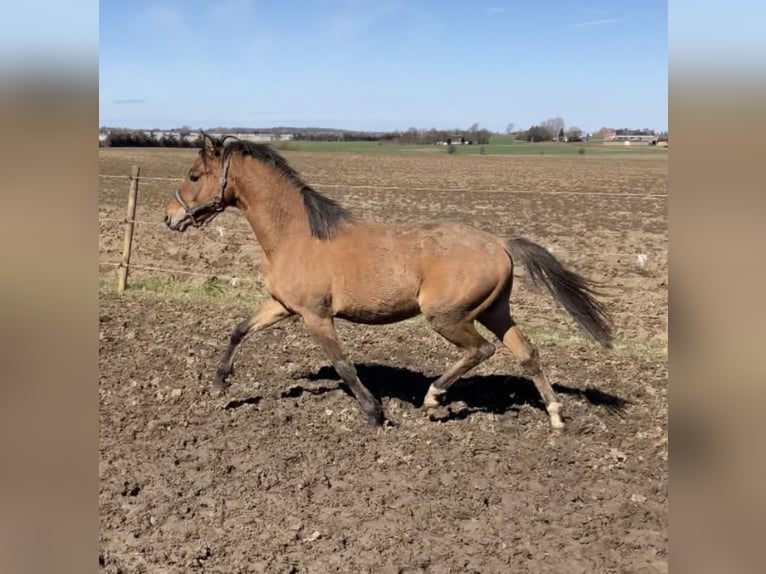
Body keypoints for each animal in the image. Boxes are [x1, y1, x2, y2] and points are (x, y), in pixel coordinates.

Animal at [166, 136, 612, 432]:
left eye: (194, 175)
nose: (170, 217)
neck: (296, 234)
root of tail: (499, 242)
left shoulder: (315, 315)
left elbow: (343, 365)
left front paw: (375, 414)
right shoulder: (282, 305)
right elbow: (239, 329)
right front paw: (220, 383)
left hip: (448, 316)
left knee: (480, 350)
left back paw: (433, 399)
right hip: (496, 311)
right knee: (527, 353)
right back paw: (556, 417)